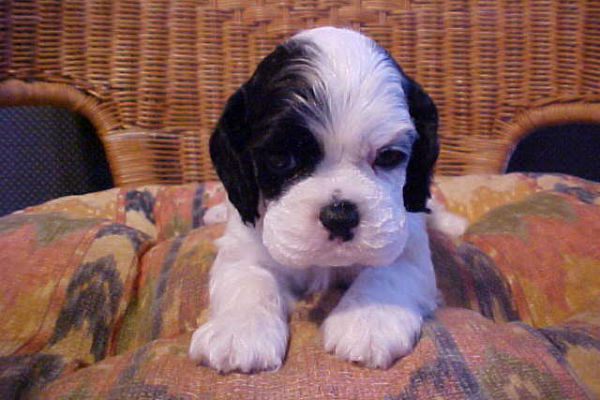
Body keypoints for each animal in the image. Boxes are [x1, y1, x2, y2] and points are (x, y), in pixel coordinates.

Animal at [190, 26, 438, 374]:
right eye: (281, 159)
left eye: (389, 156)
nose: (340, 215)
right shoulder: (244, 249)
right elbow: (250, 279)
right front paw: (239, 330)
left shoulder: (405, 243)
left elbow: (387, 272)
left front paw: (369, 318)